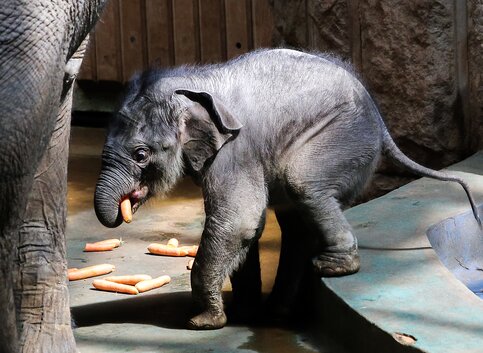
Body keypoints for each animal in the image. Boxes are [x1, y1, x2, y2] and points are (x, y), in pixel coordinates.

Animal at [93, 48, 480, 328]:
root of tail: (381, 121)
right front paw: (242, 313)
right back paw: (282, 311)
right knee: (296, 219)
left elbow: (238, 220)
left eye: (141, 155)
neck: (192, 82)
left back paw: (332, 269)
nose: (122, 211)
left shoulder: (237, 150)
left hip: (341, 138)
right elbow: (245, 227)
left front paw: (202, 323)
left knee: (303, 186)